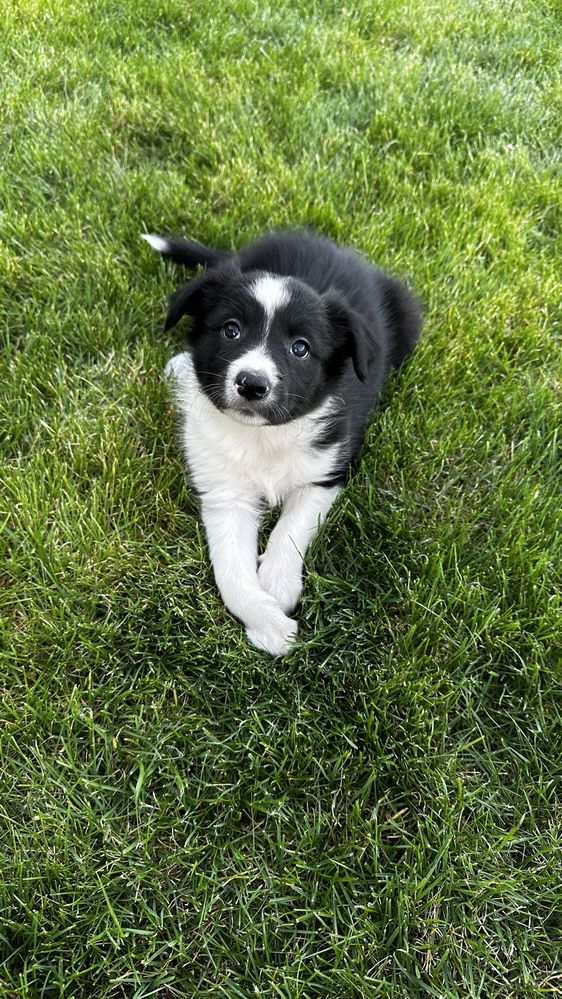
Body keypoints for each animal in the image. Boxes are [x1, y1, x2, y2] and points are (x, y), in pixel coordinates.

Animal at [144, 231, 420, 660]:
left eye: (300, 348)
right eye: (231, 330)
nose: (252, 384)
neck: (262, 435)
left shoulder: (325, 471)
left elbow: (293, 525)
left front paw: (277, 583)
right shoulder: (225, 494)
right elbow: (230, 571)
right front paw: (269, 625)